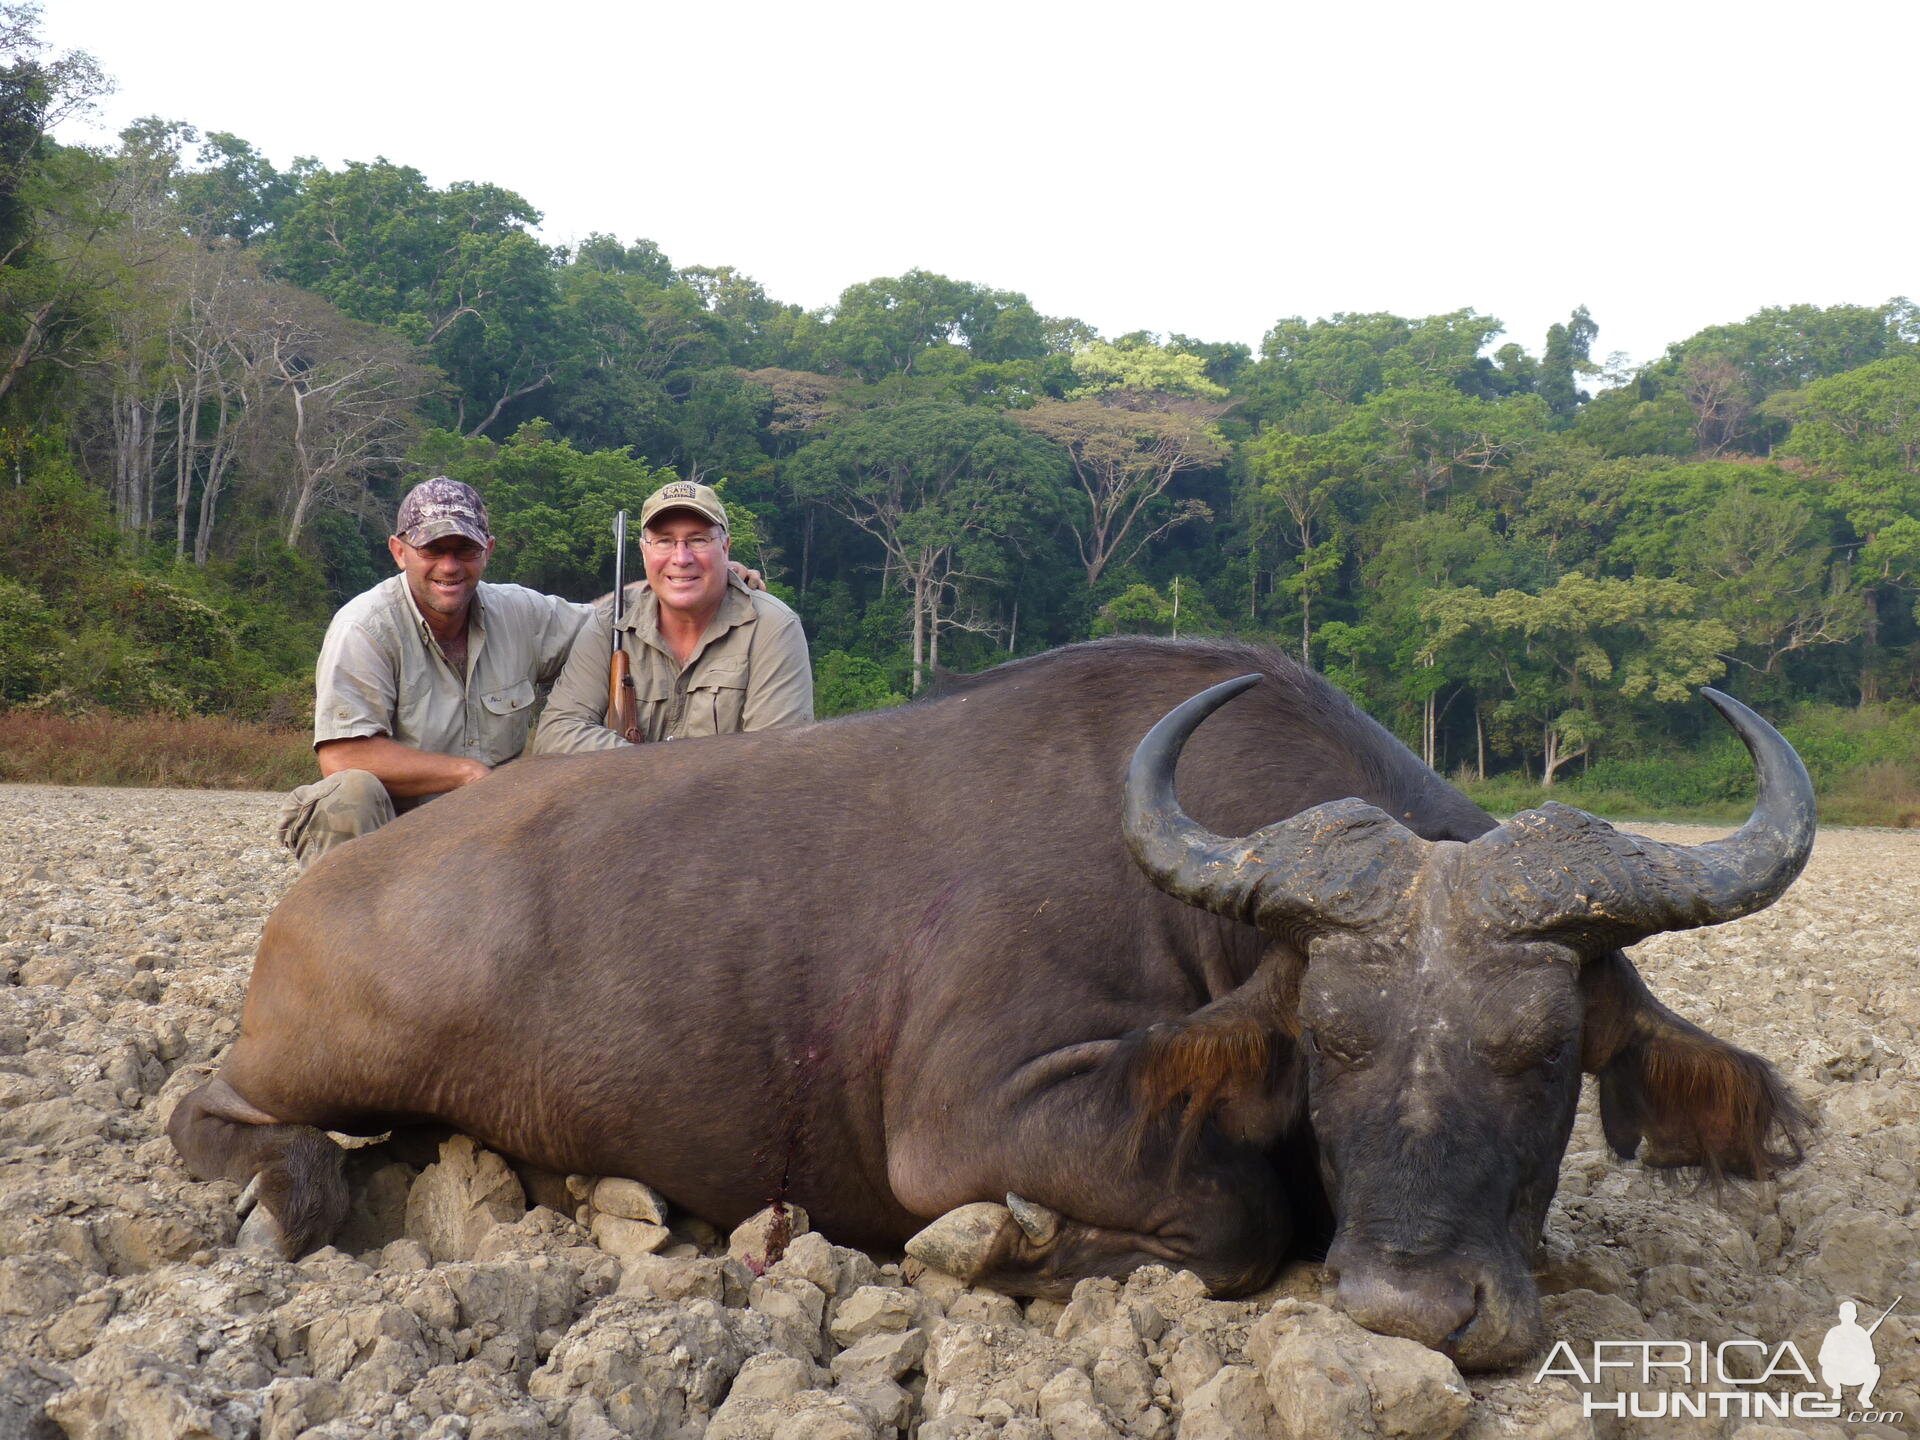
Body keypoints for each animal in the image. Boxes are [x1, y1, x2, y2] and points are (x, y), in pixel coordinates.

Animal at [168, 641, 1812, 1374]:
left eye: (1544, 1057)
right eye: (1330, 1044)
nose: (1412, 1309)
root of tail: (324, 894)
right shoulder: (976, 1121)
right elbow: (1228, 1221)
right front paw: (1003, 1252)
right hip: (317, 1066)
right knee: (213, 1111)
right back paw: (288, 1196)